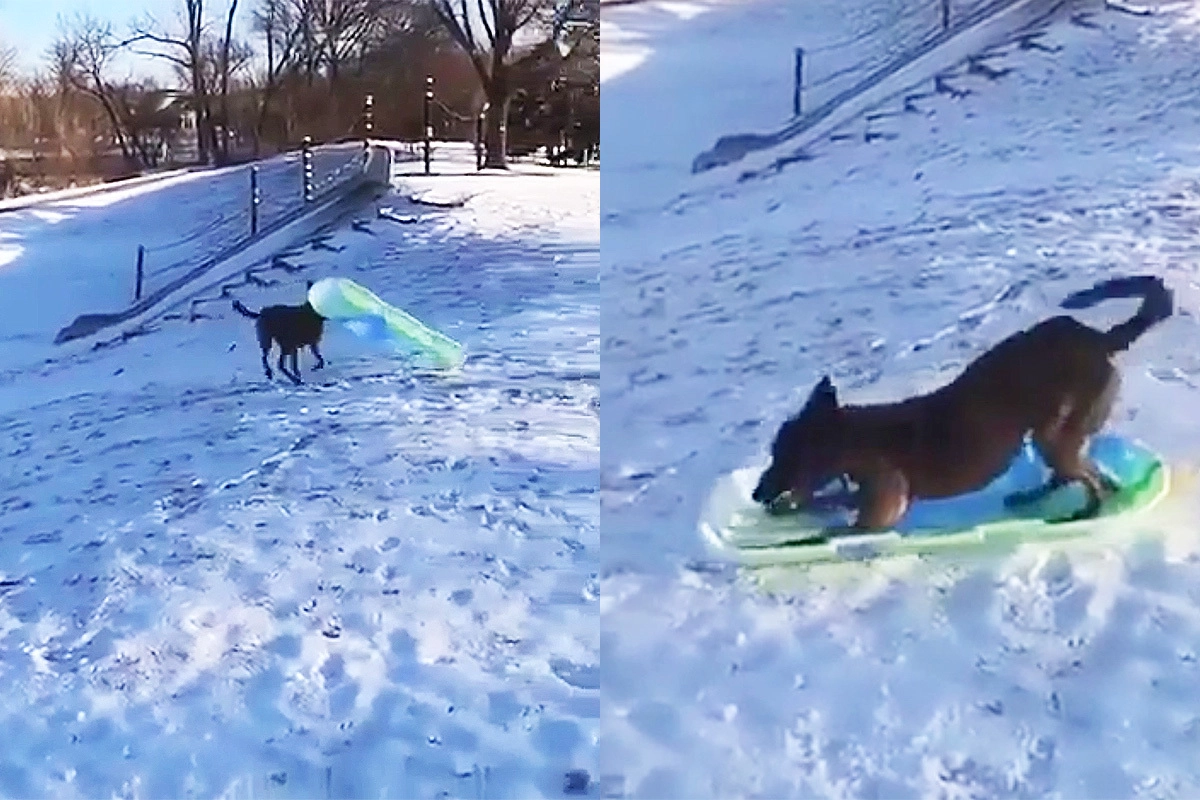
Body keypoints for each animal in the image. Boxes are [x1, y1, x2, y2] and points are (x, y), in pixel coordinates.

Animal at [753, 275, 1176, 532]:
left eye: (782, 456)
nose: (757, 494)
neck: (855, 439)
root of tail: (1098, 339)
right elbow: (828, 499)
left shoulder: (878, 514)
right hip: (1051, 438)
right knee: (1080, 474)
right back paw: (1035, 496)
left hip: (1053, 434)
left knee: (1093, 481)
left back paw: (1082, 513)